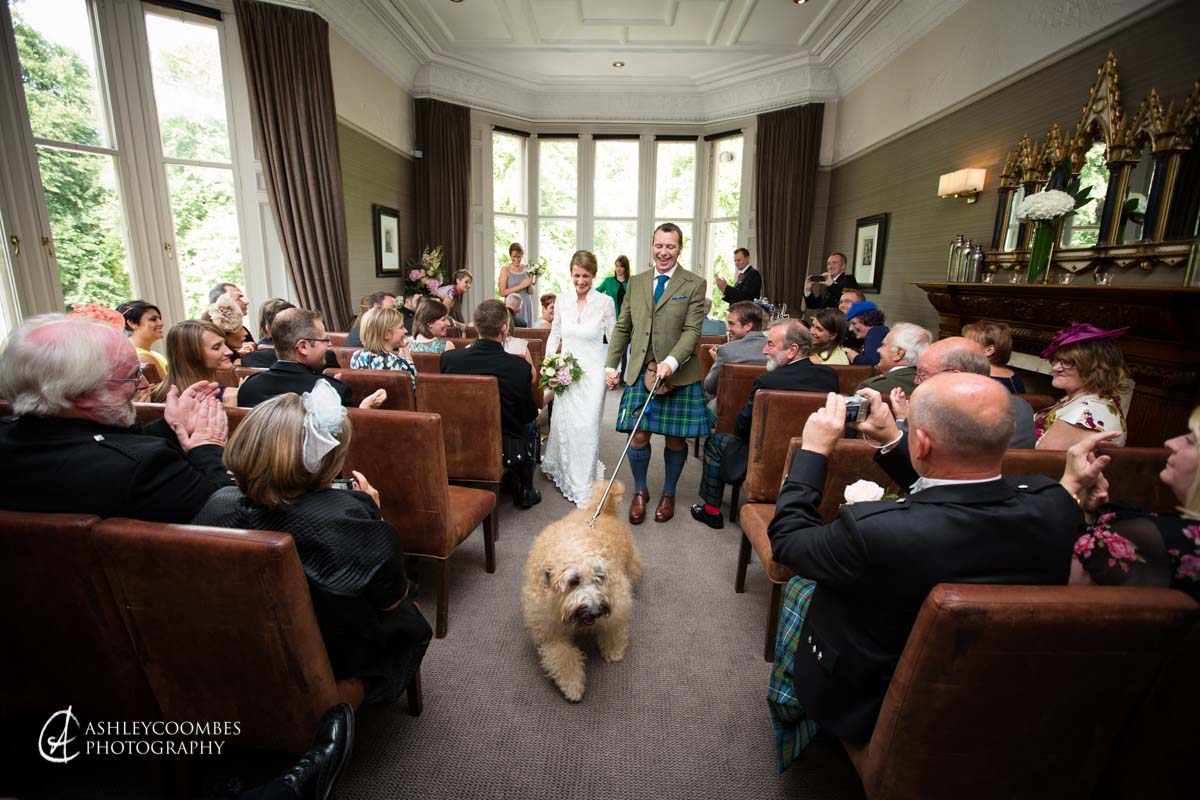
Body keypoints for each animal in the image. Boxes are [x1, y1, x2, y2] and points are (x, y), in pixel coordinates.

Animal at [520, 482, 643, 700]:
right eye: (573, 581)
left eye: (599, 578)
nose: (595, 611)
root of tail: (604, 511)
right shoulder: (549, 630)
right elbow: (561, 656)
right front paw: (572, 684)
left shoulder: (617, 600)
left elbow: (613, 626)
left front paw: (613, 649)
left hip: (631, 564)